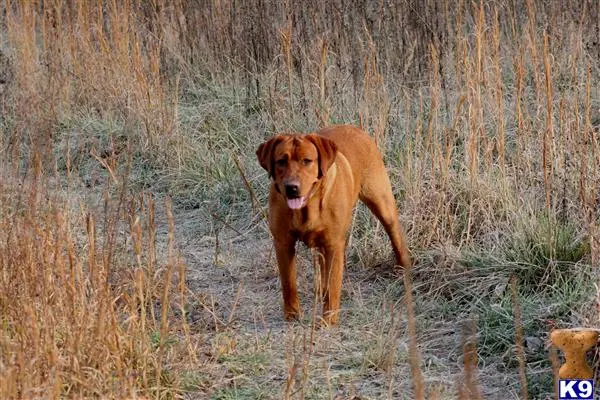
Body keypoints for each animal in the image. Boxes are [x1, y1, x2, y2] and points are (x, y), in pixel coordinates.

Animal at [255, 125, 410, 324]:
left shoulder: (334, 244)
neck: (307, 207)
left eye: (307, 161)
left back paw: (403, 268)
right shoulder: (283, 243)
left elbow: (333, 285)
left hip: (383, 204)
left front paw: (328, 320)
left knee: (394, 234)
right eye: (281, 161)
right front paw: (292, 315)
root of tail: (355, 128)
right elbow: (288, 283)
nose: (292, 187)